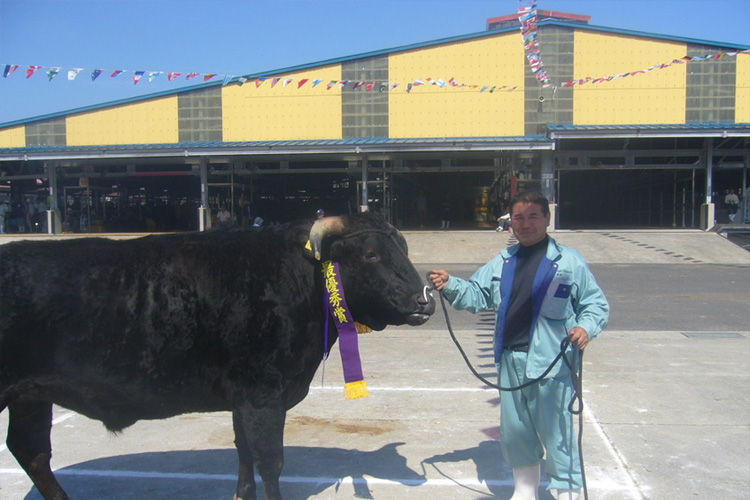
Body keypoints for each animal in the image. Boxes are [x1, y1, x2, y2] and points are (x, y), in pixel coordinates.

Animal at [0, 214, 434, 500]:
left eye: (403, 249)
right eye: (371, 254)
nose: (425, 300)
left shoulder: (243, 397)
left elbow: (243, 453)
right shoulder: (263, 394)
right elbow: (269, 461)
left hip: (31, 395)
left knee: (32, 451)